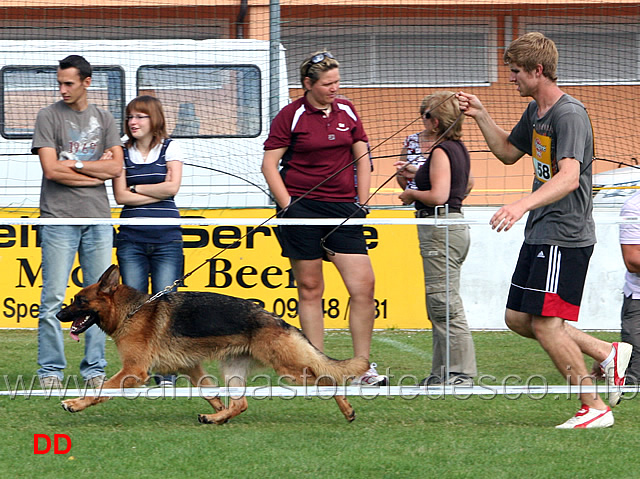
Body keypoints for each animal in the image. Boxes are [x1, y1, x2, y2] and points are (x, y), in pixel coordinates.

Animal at [55, 264, 370, 426]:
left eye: (79, 301)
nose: (57, 315)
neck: (132, 311)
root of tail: (275, 319)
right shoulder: (192, 367)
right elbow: (208, 391)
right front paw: (217, 408)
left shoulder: (133, 370)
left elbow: (101, 390)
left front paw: (75, 403)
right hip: (233, 369)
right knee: (241, 402)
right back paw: (216, 418)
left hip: (288, 368)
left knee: (327, 379)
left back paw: (346, 408)